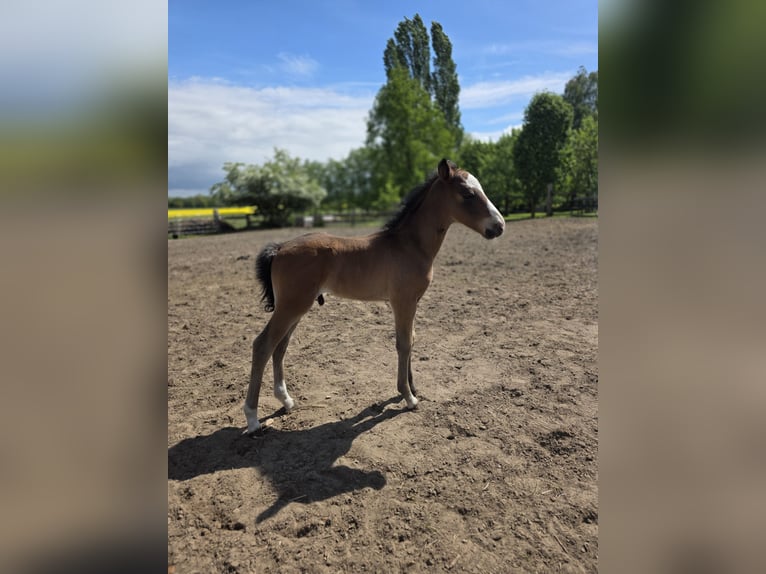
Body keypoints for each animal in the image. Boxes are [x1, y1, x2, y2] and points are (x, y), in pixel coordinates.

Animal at [244, 158, 505, 434]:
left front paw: (412, 388)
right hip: (292, 306)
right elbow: (404, 344)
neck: (409, 245)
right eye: (467, 194)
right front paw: (408, 397)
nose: (499, 226)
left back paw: (286, 400)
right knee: (263, 345)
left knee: (280, 346)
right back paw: (252, 419)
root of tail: (279, 248)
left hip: (296, 307)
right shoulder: (402, 301)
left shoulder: (412, 302)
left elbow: (411, 339)